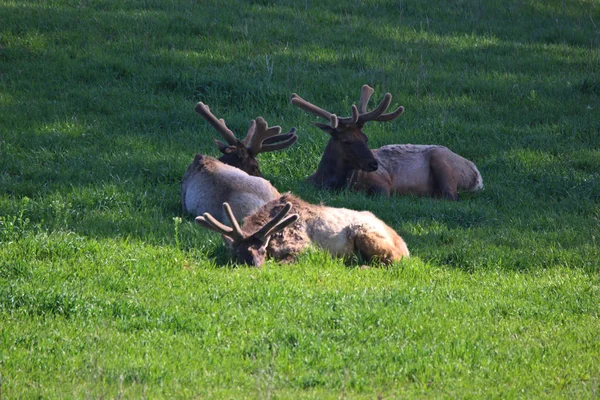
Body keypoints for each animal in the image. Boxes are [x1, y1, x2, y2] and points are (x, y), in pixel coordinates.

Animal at [195, 193, 410, 268]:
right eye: (236, 253)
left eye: (262, 250)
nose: (254, 265)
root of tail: (404, 245)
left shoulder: (304, 248)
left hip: (364, 233)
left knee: (392, 259)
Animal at [290, 85, 482, 200]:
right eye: (346, 141)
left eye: (366, 138)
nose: (374, 164)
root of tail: (477, 176)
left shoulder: (382, 183)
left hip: (442, 159)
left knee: (451, 195)